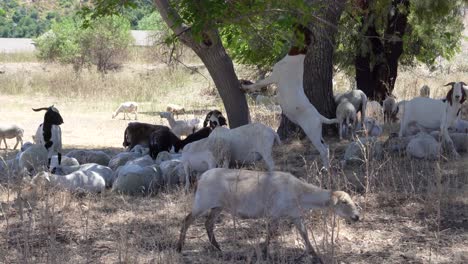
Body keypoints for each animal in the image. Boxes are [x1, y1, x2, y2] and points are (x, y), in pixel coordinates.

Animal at [177, 168, 360, 260]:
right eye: (344, 202)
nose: (357, 217)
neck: (300, 193)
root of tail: (201, 177)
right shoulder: (275, 214)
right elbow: (271, 233)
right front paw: (264, 252)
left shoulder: (295, 215)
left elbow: (305, 234)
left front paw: (314, 254)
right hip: (202, 202)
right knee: (186, 221)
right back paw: (179, 248)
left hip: (217, 206)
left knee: (208, 224)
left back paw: (218, 248)